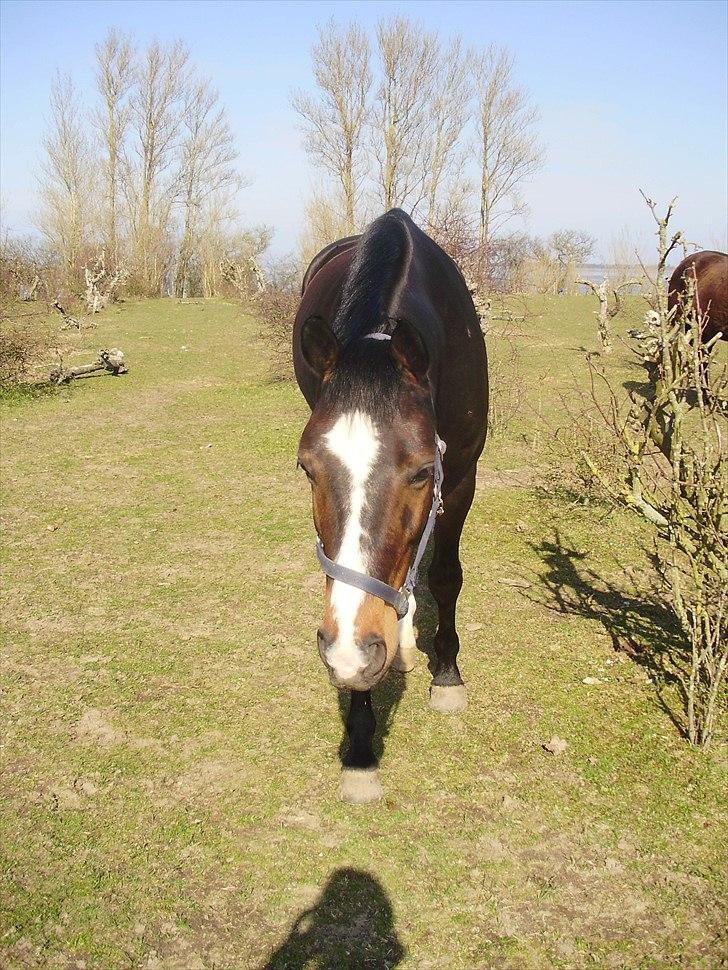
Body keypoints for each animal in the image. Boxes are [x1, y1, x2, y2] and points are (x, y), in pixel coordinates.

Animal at [292, 208, 490, 796]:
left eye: (422, 472)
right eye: (307, 469)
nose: (350, 650)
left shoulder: (460, 475)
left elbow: (444, 577)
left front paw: (446, 675)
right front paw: (360, 744)